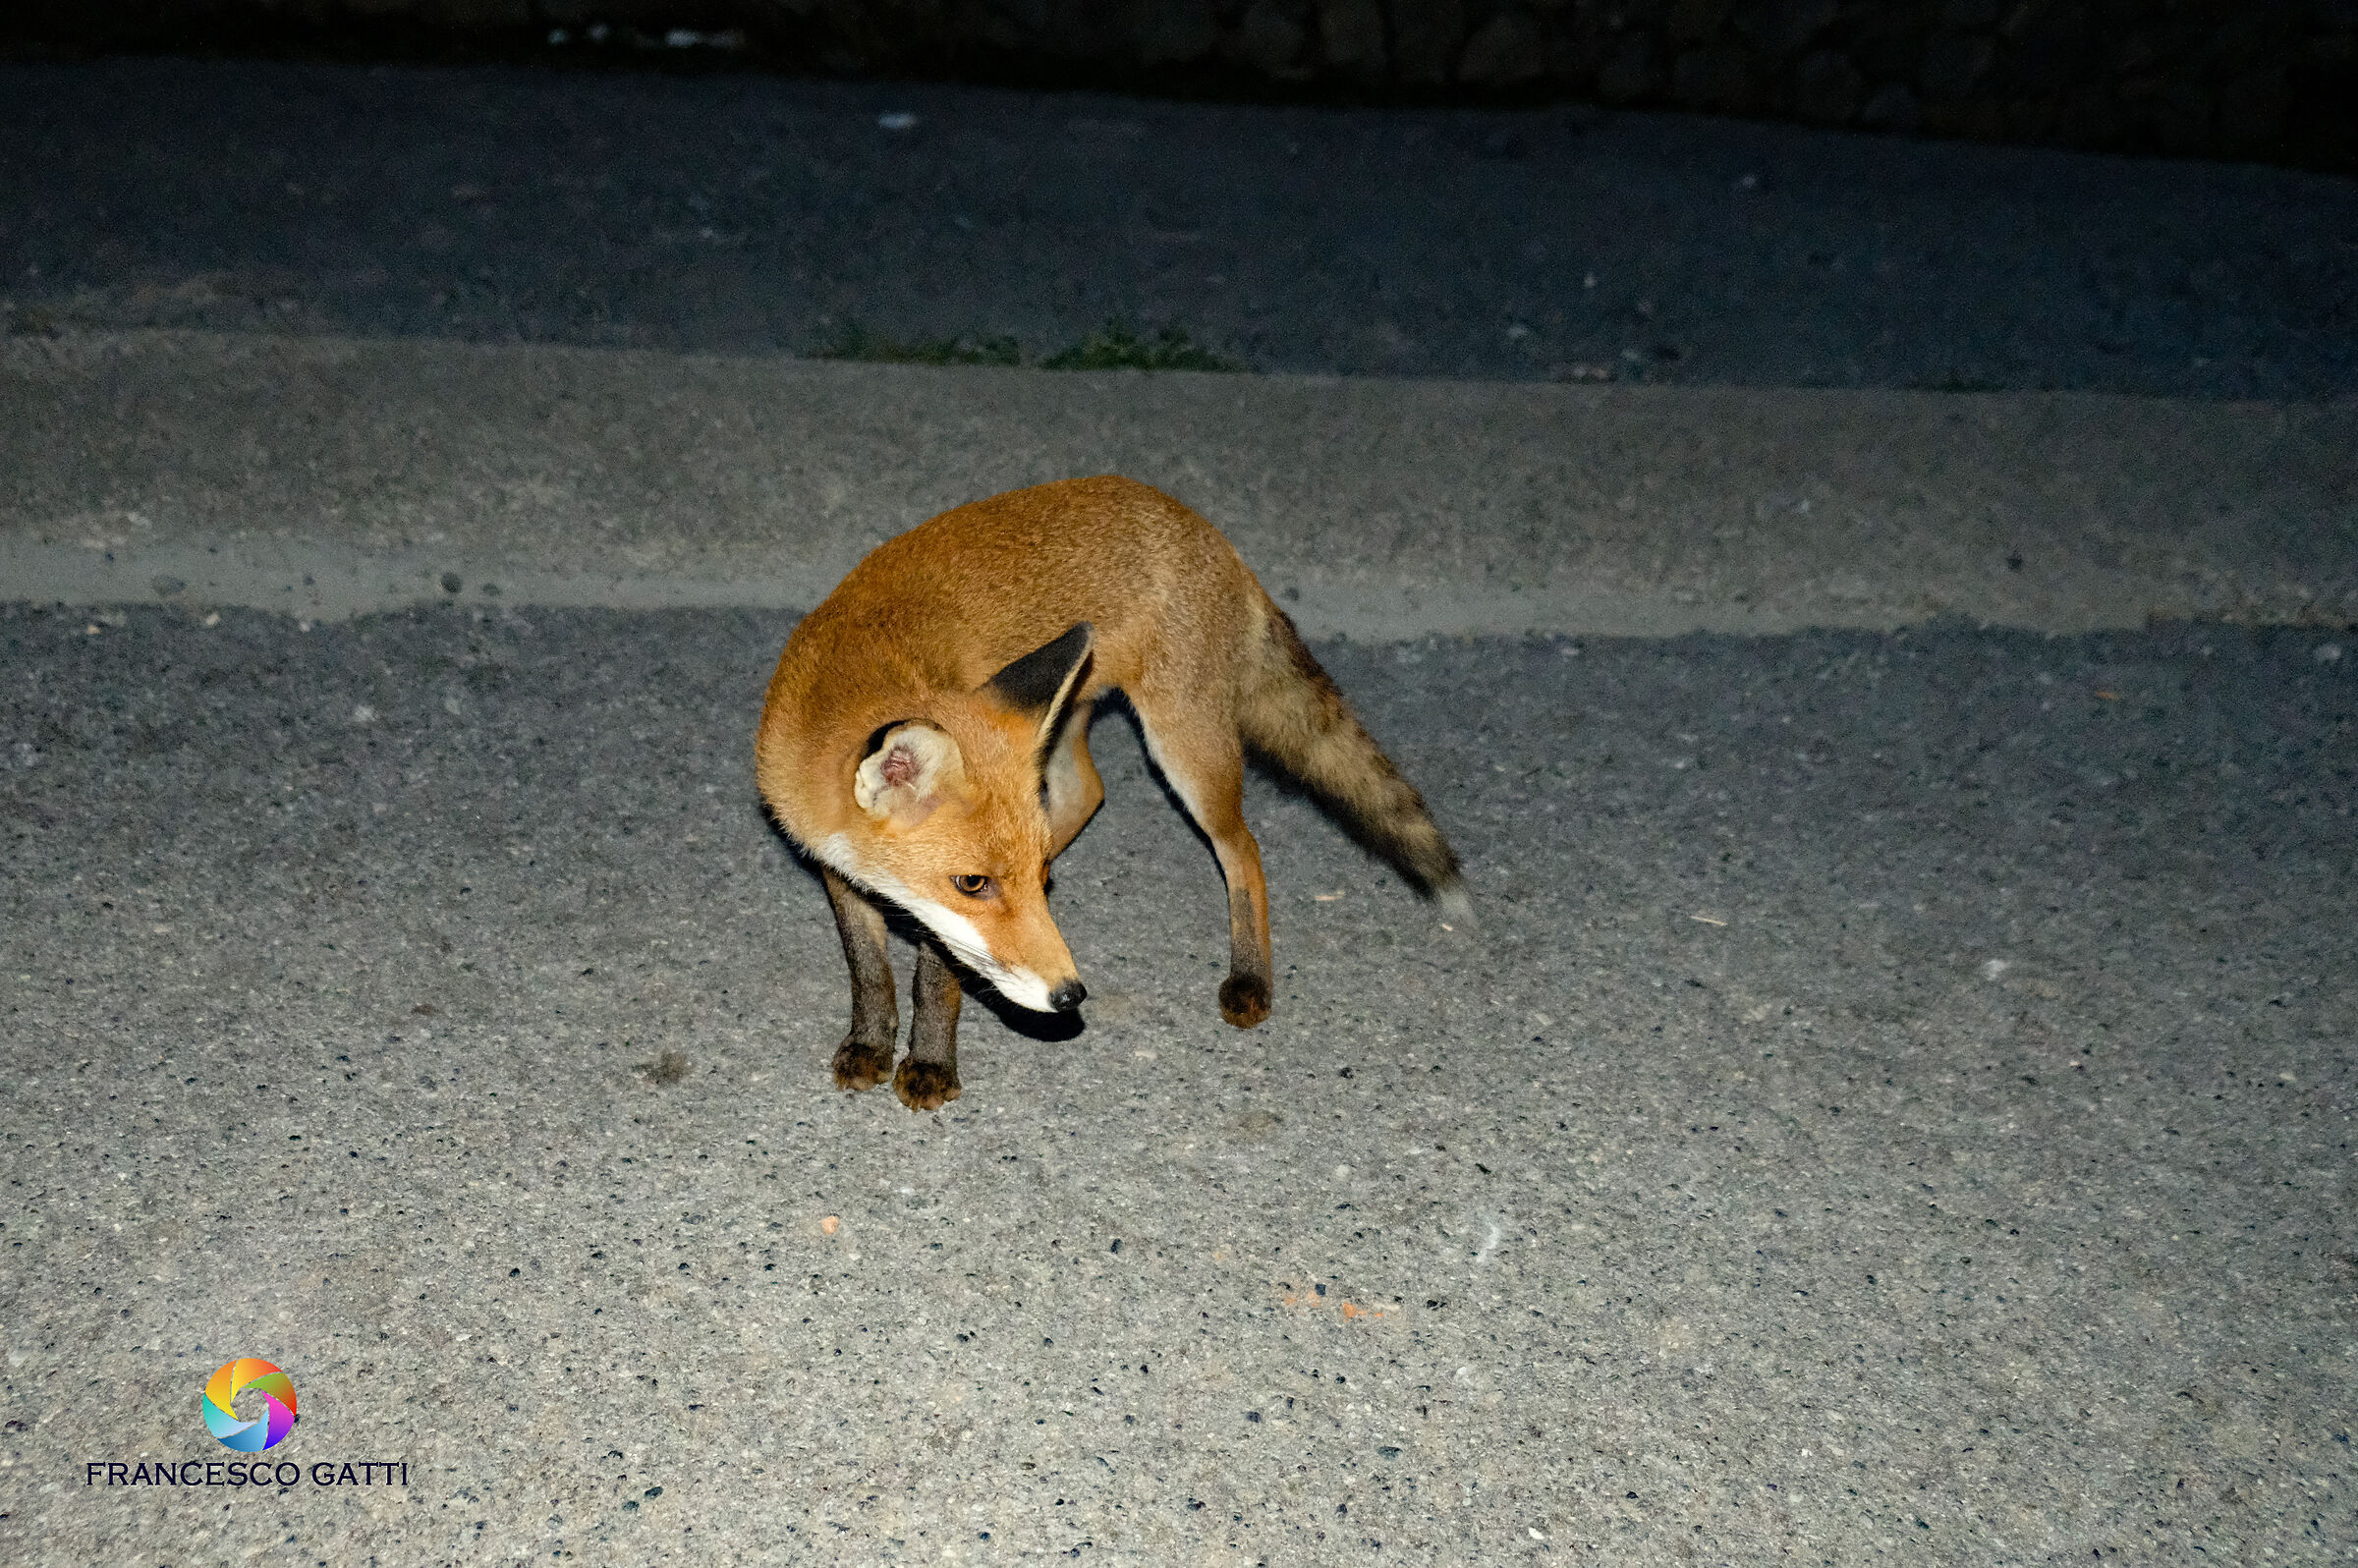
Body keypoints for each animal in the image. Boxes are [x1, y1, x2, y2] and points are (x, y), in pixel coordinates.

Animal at [754, 475, 1471, 1111]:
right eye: (975, 884)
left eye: (1025, 885)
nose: (1071, 996)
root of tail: (1199, 526)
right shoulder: (835, 868)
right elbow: (869, 971)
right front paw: (869, 1046)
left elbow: (938, 980)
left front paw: (931, 1066)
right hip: (1065, 721)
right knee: (1089, 793)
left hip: (1184, 747)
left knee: (1242, 847)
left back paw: (1250, 977)